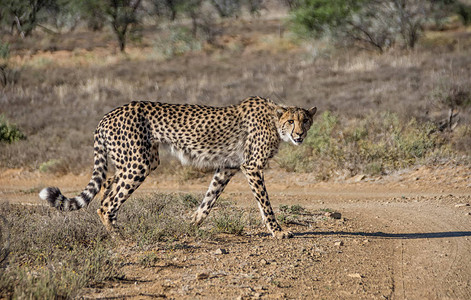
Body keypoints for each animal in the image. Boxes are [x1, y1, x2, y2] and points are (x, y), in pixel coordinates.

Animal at [38, 96, 316, 239]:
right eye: (291, 121)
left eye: (306, 121)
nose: (300, 135)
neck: (274, 121)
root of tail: (108, 115)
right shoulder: (252, 166)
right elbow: (265, 203)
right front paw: (278, 232)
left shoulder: (227, 166)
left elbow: (208, 200)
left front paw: (191, 224)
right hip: (138, 164)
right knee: (107, 203)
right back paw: (119, 236)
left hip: (140, 161)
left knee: (106, 188)